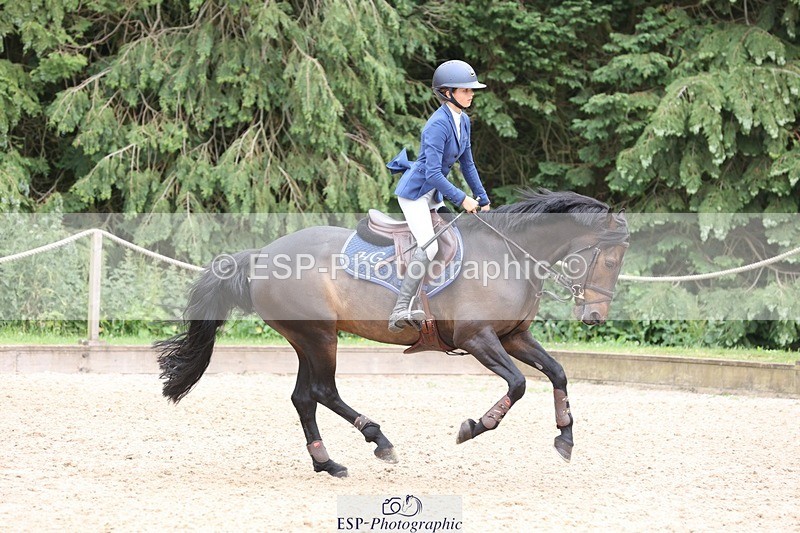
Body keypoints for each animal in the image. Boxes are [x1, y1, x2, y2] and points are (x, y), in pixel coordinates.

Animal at [154, 190, 630, 477]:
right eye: (609, 260)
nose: (594, 316)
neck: (510, 255)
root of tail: (261, 255)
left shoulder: (513, 337)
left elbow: (558, 372)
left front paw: (565, 437)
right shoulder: (478, 339)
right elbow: (516, 384)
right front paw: (476, 426)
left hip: (307, 340)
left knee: (304, 397)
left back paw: (327, 462)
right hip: (320, 338)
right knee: (323, 392)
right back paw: (378, 440)